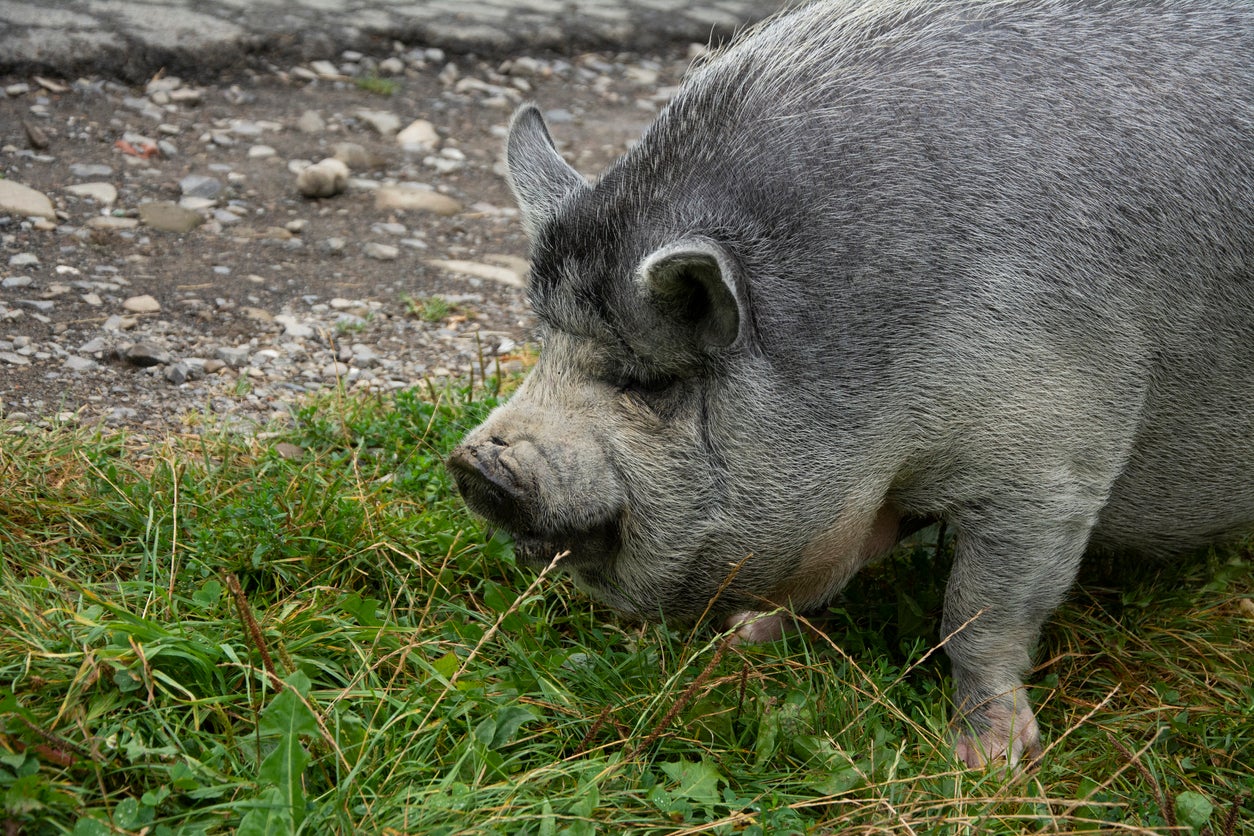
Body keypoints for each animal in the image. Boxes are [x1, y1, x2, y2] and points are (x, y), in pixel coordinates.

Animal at [448, 0, 1254, 768]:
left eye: (646, 381)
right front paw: (740, 639)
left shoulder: (1052, 462)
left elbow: (980, 614)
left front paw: (989, 765)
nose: (476, 462)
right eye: (544, 347)